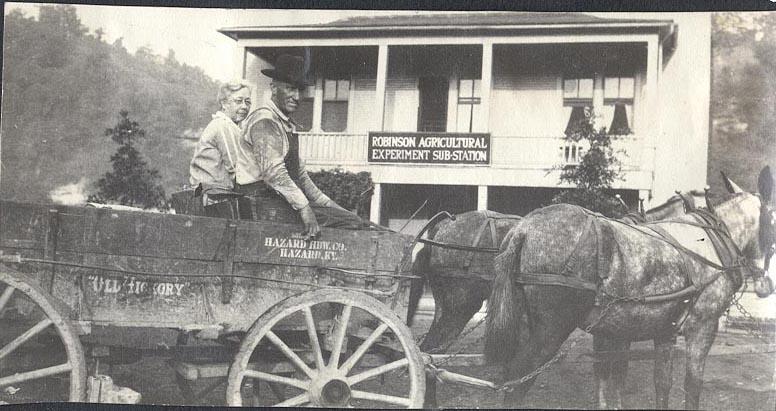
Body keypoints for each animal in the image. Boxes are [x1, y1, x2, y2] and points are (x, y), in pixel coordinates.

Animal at [410, 192, 700, 408]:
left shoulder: (610, 330)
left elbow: (606, 371)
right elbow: (616, 373)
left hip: (450, 308)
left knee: (429, 354)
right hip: (464, 308)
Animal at [484, 168, 776, 411]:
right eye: (772, 225)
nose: (765, 286)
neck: (709, 241)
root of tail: (523, 229)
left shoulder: (662, 331)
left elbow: (659, 384)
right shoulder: (702, 328)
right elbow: (691, 387)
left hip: (525, 323)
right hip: (551, 331)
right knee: (518, 381)